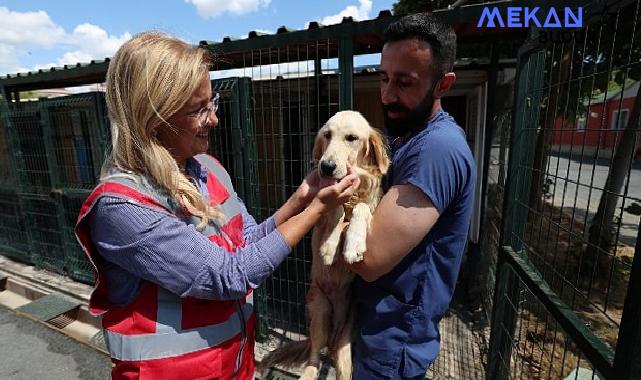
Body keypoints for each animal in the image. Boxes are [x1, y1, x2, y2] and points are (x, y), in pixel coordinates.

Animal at [260, 110, 390, 380]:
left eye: (351, 138)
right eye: (327, 135)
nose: (326, 166)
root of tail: (331, 339)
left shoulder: (373, 208)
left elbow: (361, 208)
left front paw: (353, 245)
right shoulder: (321, 211)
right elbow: (334, 208)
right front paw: (330, 247)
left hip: (345, 344)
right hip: (319, 311)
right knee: (313, 359)